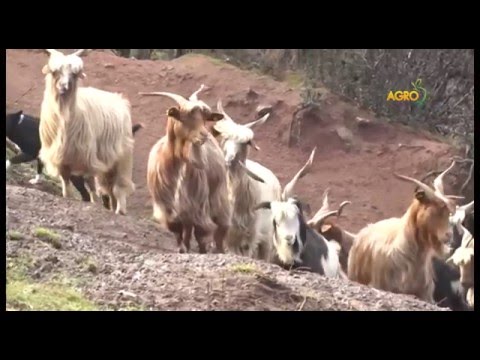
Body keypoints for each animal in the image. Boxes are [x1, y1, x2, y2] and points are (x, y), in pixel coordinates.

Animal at [37, 49, 135, 215]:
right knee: (109, 186)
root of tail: (120, 100)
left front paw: (94, 203)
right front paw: (67, 196)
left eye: (74, 74)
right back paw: (113, 206)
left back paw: (120, 210)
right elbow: (65, 180)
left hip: (122, 156)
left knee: (118, 184)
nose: (64, 87)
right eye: (55, 72)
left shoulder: (88, 155)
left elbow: (90, 183)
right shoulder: (61, 156)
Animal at [140, 85, 232, 253]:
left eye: (204, 118)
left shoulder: (198, 203)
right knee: (188, 228)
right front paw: (181, 249)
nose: (204, 135)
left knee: (219, 229)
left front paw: (202, 251)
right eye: (184, 117)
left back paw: (218, 249)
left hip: (218, 196)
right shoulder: (167, 204)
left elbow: (201, 233)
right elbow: (176, 229)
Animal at [210, 100, 282, 260]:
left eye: (246, 143)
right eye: (225, 138)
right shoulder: (229, 234)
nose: (229, 159)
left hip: (266, 236)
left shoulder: (251, 233)